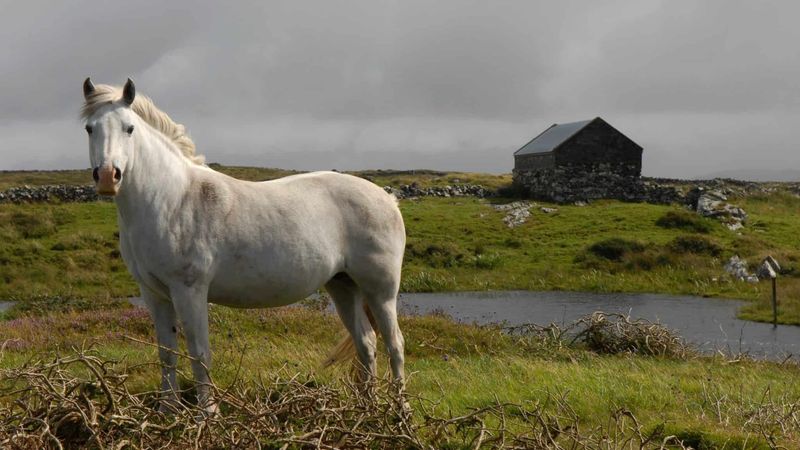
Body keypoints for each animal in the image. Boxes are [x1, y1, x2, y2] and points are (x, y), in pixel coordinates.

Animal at [81, 78, 406, 412]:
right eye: (90, 128)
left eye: (129, 128)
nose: (107, 177)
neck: (172, 199)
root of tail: (387, 198)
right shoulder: (154, 294)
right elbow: (166, 354)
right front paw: (167, 410)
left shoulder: (189, 291)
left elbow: (199, 352)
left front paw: (207, 413)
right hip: (343, 285)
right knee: (366, 343)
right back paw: (367, 409)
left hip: (380, 291)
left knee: (394, 344)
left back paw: (400, 411)